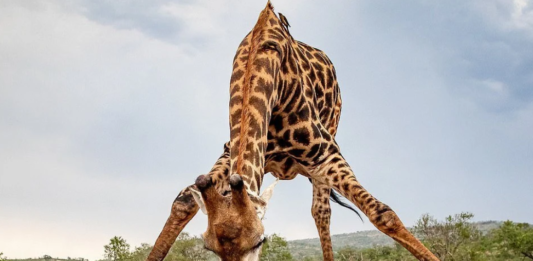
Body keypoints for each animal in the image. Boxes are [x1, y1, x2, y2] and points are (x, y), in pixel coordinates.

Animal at [147, 2, 436, 260]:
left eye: (260, 241)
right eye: (209, 247)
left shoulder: (326, 153)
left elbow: (382, 213)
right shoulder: (229, 152)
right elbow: (182, 203)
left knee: (322, 212)